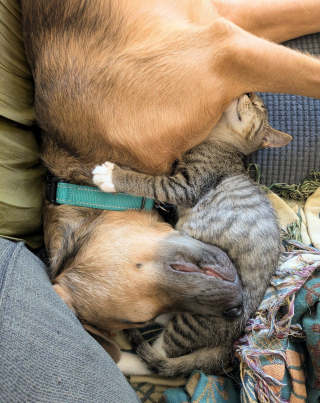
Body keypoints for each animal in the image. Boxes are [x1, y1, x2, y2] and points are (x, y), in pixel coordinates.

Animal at [92, 93, 292, 378]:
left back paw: (124, 360)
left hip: (198, 315)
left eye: (257, 106)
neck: (221, 141)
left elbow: (151, 182)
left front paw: (112, 176)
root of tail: (234, 338)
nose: (249, 93)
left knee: (159, 359)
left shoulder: (186, 186)